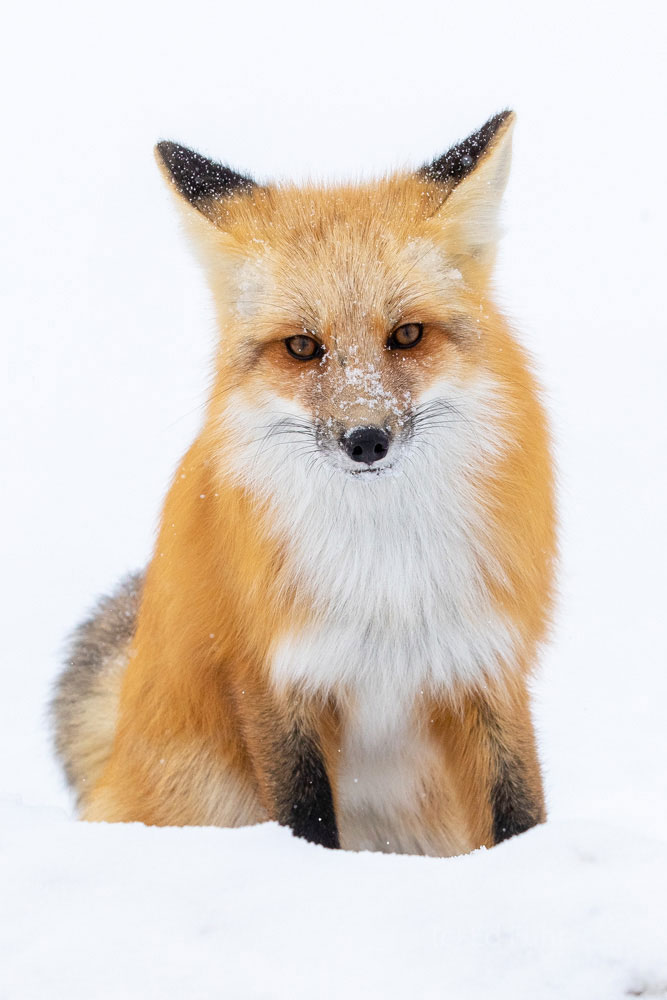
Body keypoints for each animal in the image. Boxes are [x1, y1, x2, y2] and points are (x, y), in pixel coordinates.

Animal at [49, 111, 556, 860]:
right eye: (301, 347)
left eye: (407, 335)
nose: (366, 439)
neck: (384, 574)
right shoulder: (272, 677)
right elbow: (306, 820)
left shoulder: (483, 660)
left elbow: (517, 808)